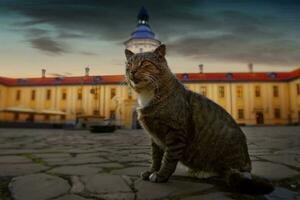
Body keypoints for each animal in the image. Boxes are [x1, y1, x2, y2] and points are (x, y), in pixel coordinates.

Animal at [124, 44, 274, 195]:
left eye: (144, 63)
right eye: (129, 64)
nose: (132, 71)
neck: (146, 95)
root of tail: (247, 164)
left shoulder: (175, 133)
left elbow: (169, 159)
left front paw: (161, 175)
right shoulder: (155, 137)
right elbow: (155, 158)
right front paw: (151, 171)